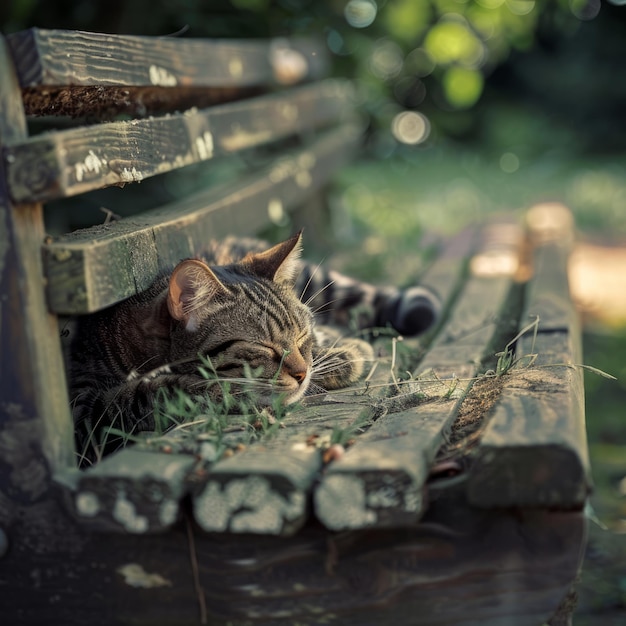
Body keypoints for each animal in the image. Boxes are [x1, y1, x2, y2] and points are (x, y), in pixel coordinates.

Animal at [70, 232, 436, 460]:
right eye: (264, 348)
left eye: (301, 338)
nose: (302, 375)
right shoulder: (83, 412)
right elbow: (151, 392)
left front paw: (338, 357)